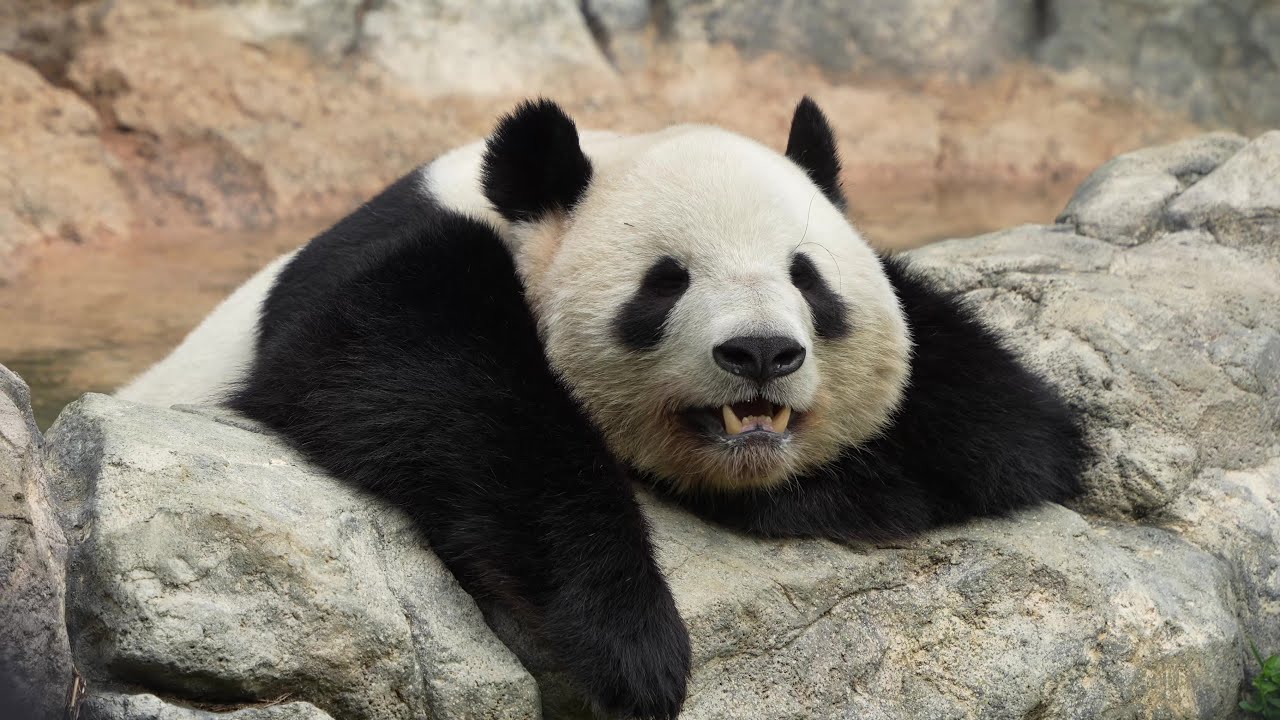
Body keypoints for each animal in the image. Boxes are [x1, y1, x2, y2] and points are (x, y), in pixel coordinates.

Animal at [117, 98, 1088, 719]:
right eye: (666, 281)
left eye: (806, 277)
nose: (761, 354)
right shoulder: (380, 285)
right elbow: (417, 391)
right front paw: (632, 642)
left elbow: (1005, 425)